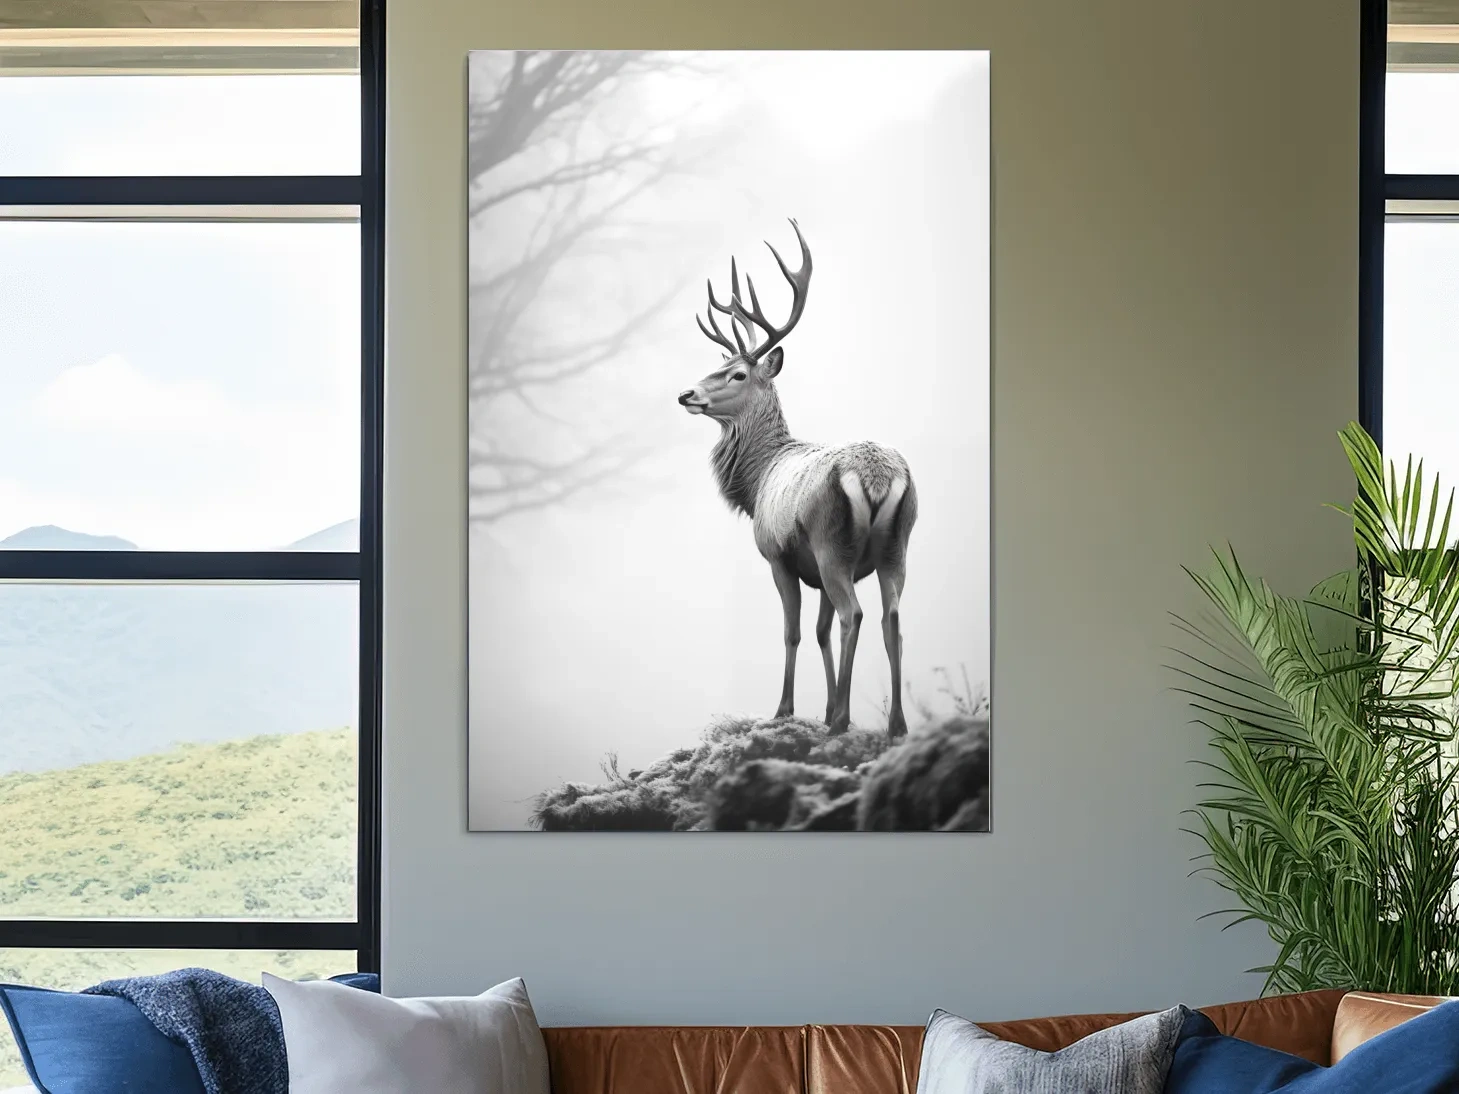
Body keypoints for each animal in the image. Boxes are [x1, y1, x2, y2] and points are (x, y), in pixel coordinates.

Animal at [677, 220, 918, 737]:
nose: (686, 394)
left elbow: (794, 632)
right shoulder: (816, 572)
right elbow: (821, 632)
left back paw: (843, 720)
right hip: (897, 546)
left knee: (855, 614)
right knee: (890, 619)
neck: (758, 480)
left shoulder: (778, 555)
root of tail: (876, 477)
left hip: (831, 542)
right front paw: (823, 706)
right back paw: (895, 725)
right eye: (718, 365)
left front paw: (787, 709)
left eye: (737, 373)